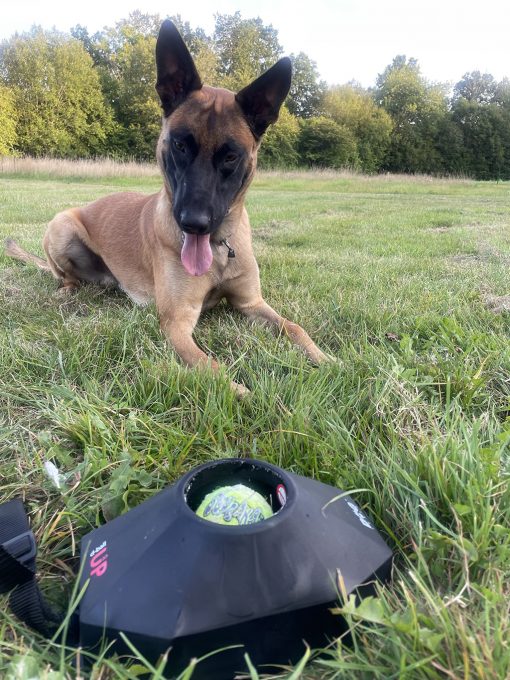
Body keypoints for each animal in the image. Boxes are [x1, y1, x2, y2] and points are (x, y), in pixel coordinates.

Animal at [6, 20, 329, 395]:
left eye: (230, 156)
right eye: (180, 145)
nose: (194, 223)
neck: (219, 249)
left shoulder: (252, 303)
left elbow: (295, 327)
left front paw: (330, 361)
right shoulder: (177, 323)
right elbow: (211, 368)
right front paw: (246, 395)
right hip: (61, 226)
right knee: (65, 277)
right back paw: (66, 293)